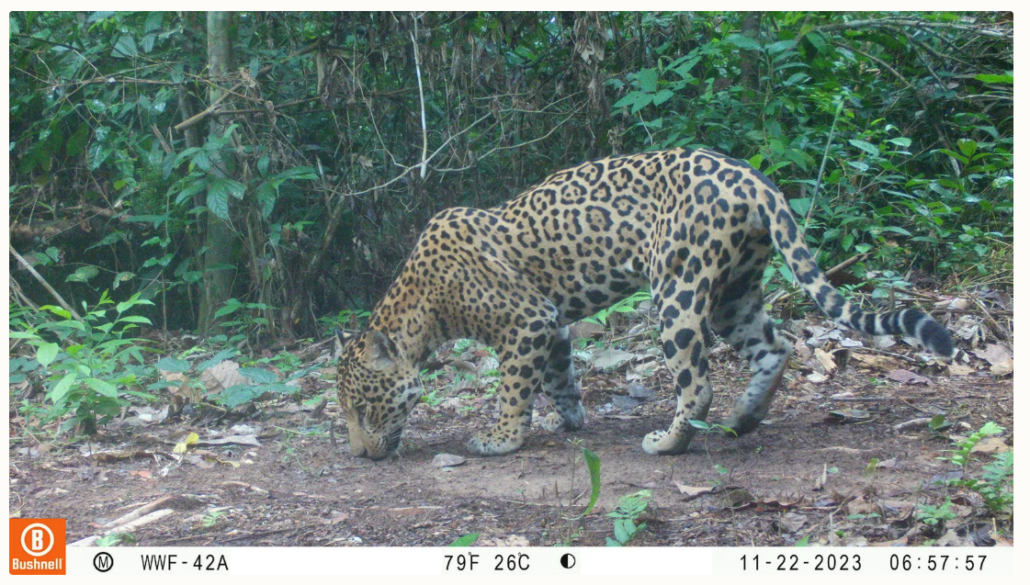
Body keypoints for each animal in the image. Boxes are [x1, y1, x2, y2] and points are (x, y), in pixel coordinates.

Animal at [335, 147, 953, 461]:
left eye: (365, 407)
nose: (361, 453)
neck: (421, 305)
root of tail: (755, 180)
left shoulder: (526, 322)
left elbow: (512, 388)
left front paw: (501, 439)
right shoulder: (553, 325)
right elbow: (559, 377)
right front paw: (570, 418)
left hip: (677, 288)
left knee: (697, 382)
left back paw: (670, 441)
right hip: (734, 291)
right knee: (776, 346)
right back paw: (742, 419)